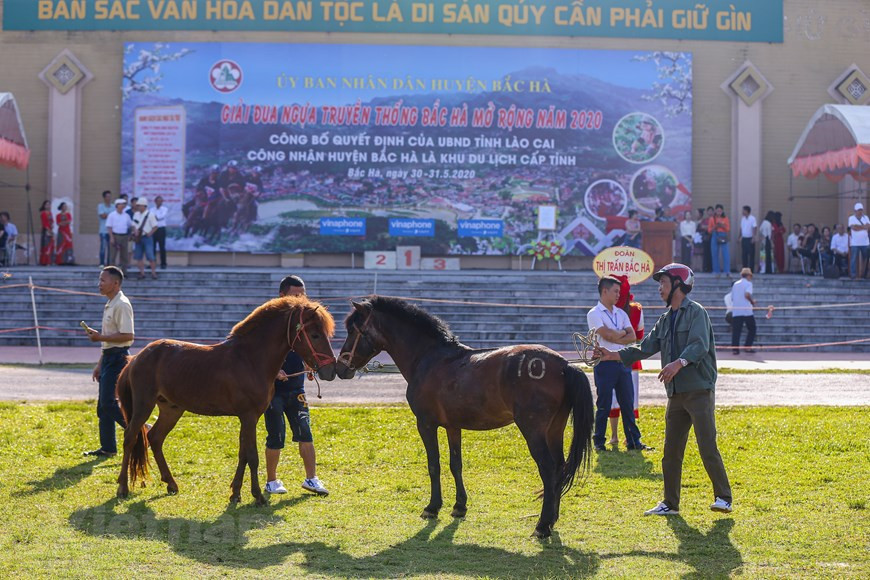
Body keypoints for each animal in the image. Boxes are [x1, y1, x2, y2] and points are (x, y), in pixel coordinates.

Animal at [114, 294, 336, 502]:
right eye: (315, 335)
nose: (331, 370)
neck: (250, 359)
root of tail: (137, 357)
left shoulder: (248, 418)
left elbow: (243, 454)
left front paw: (235, 493)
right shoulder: (248, 416)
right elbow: (252, 456)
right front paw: (258, 496)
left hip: (172, 409)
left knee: (155, 438)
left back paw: (171, 484)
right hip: (144, 405)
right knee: (130, 437)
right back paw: (123, 488)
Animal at [338, 296, 596, 536]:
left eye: (353, 330)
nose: (340, 367)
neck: (430, 358)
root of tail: (563, 364)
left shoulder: (426, 424)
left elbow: (434, 464)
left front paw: (432, 507)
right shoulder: (453, 426)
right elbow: (456, 464)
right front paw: (459, 506)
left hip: (533, 431)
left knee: (548, 469)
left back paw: (542, 526)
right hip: (554, 430)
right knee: (559, 468)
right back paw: (552, 520)